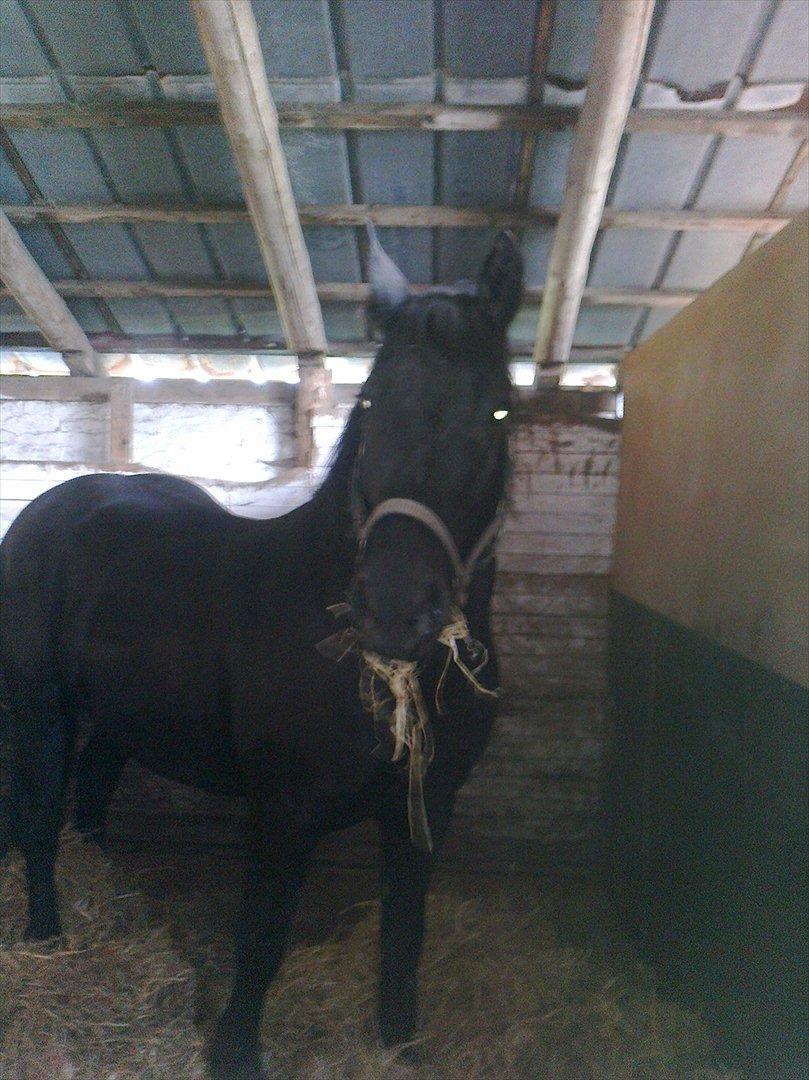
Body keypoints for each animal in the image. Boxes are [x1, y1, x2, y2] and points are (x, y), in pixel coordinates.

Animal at [0, 228, 523, 1080]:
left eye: (499, 412)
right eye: (369, 404)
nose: (392, 612)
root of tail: (49, 509)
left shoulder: (427, 806)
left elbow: (404, 934)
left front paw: (398, 1043)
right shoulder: (284, 810)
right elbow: (262, 939)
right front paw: (235, 1053)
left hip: (118, 717)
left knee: (92, 800)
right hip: (41, 708)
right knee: (41, 818)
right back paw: (47, 939)